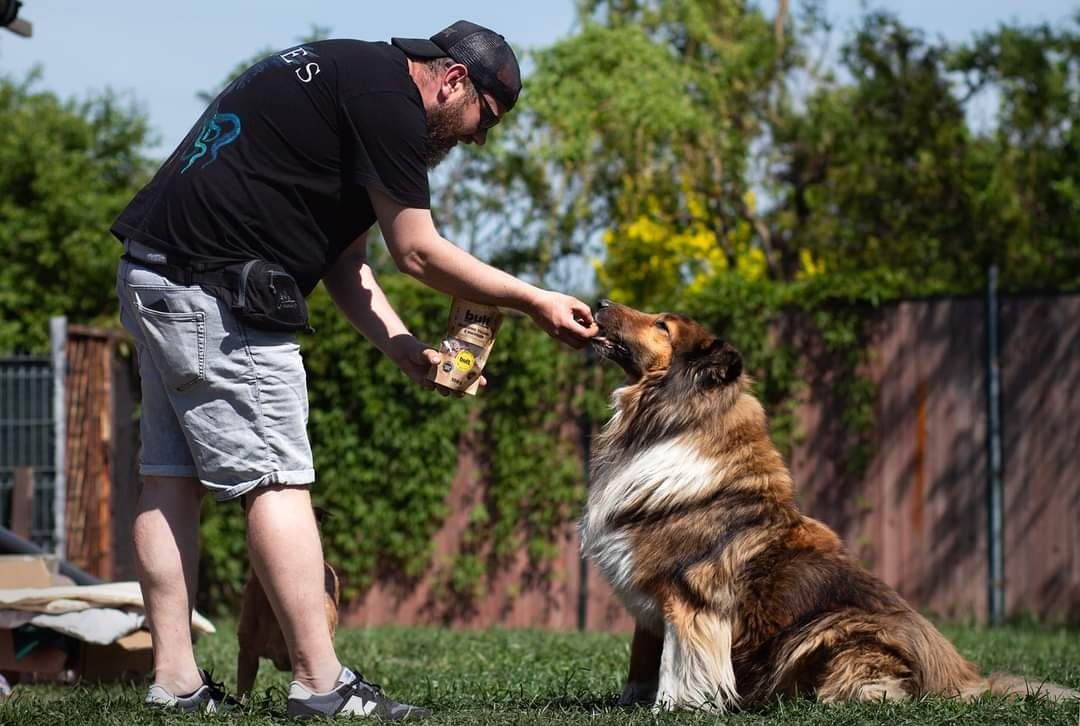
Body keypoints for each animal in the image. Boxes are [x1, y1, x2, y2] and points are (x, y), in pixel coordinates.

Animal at [578, 298, 1075, 713]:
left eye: (662, 325)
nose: (598, 303)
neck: (670, 421)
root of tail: (963, 679)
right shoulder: (650, 597)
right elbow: (643, 658)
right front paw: (630, 704)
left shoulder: (689, 594)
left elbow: (678, 665)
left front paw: (673, 709)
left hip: (829, 627)